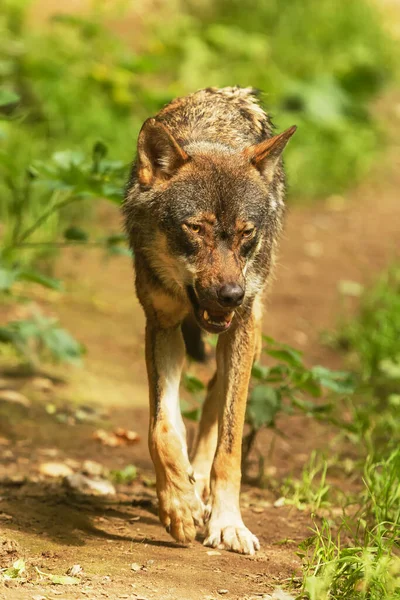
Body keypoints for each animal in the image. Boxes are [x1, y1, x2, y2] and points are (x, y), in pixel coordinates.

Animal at [123, 86, 296, 556]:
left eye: (246, 233)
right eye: (195, 228)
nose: (231, 295)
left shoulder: (240, 328)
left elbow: (230, 447)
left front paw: (228, 524)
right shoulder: (159, 325)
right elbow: (162, 428)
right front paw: (178, 505)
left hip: (250, 336)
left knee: (218, 398)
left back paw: (201, 486)